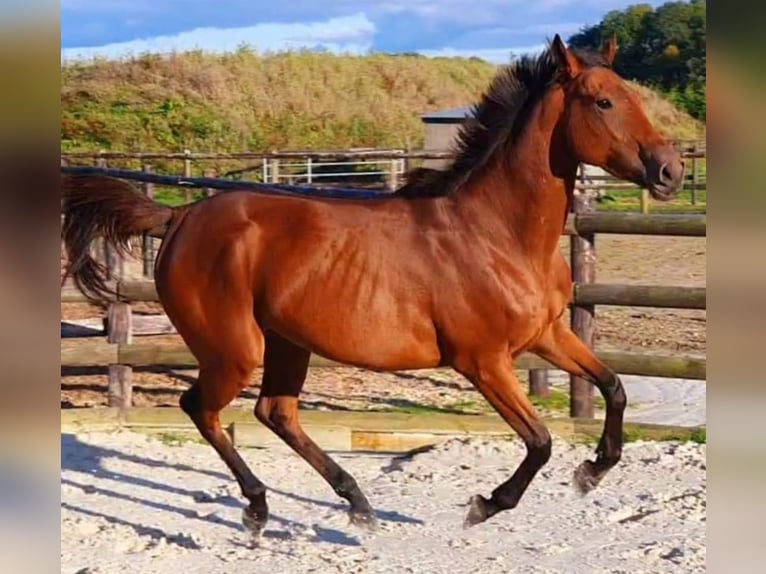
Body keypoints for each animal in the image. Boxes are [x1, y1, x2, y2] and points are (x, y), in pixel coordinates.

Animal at [60, 33, 684, 532]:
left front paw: (592, 471)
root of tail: (181, 216)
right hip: (235, 349)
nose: (670, 171)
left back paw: (357, 503)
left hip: (286, 342)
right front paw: (485, 505)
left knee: (275, 413)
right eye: (603, 102)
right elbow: (540, 441)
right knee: (202, 408)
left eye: (633, 95)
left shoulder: (546, 335)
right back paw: (259, 507)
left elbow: (613, 387)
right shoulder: (482, 361)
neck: (496, 234)